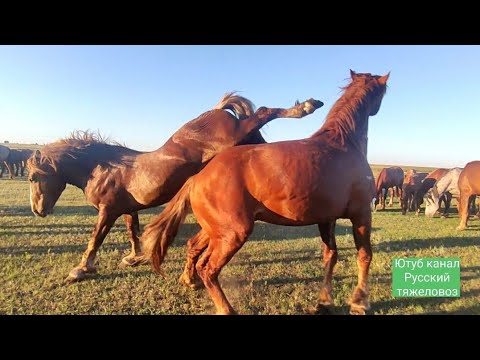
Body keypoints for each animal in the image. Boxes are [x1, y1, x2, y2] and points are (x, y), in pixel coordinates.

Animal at [24, 93, 320, 284]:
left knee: (264, 112)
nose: (38, 211)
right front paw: (135, 258)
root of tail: (216, 109)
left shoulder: (107, 211)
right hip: (246, 140)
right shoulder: (127, 209)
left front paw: (81, 269)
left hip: (239, 132)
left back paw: (307, 106)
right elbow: (133, 233)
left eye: (32, 178)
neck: (103, 168)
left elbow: (95, 238)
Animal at [142, 70, 390, 316]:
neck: (344, 145)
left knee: (194, 248)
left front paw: (324, 302)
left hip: (216, 230)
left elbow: (331, 256)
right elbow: (364, 255)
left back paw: (189, 280)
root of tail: (196, 178)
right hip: (233, 233)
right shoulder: (361, 214)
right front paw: (360, 303)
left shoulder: (327, 219)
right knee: (208, 268)